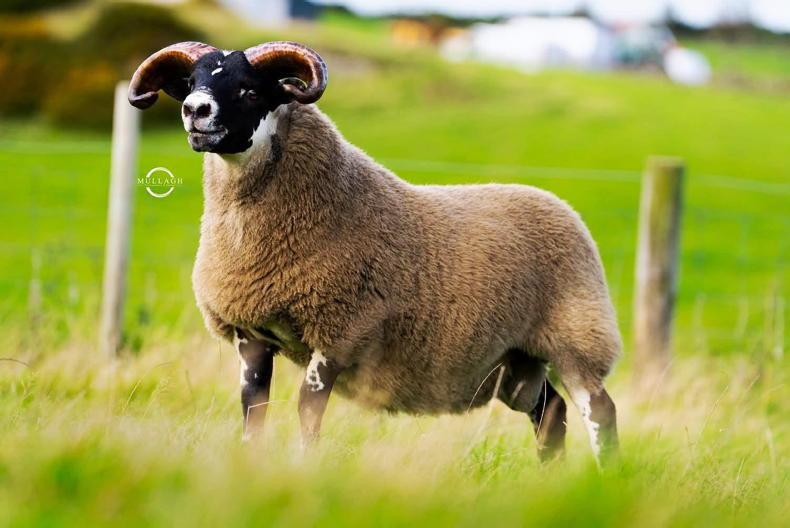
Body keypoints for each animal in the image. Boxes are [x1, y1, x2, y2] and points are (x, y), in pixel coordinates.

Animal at [129, 41, 621, 461]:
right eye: (191, 83)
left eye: (250, 89)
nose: (195, 111)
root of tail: (561, 206)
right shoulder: (251, 333)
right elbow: (254, 411)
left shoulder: (338, 331)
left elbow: (308, 411)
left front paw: (302, 468)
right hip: (514, 363)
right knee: (551, 414)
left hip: (577, 336)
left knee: (599, 411)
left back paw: (605, 481)